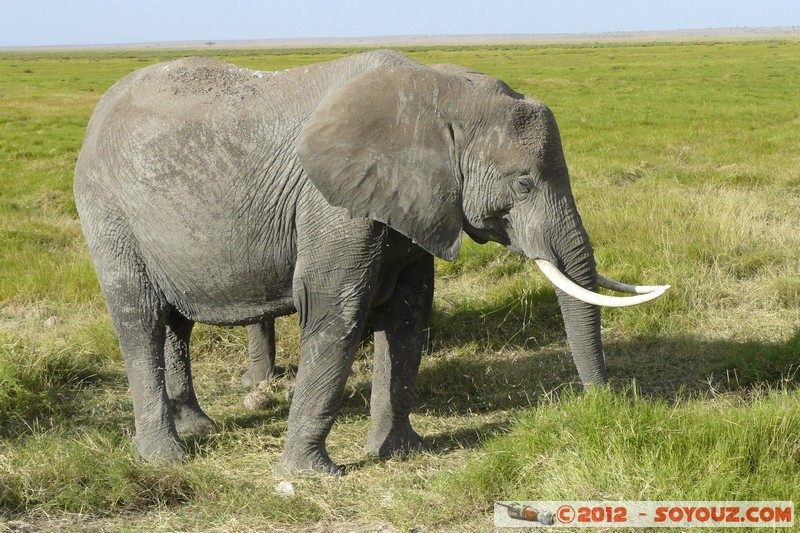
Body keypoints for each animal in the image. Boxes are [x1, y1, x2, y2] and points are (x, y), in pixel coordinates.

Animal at [73, 51, 668, 474]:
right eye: (523, 184)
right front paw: (311, 475)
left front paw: (402, 453)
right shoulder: (332, 205)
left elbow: (408, 315)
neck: (439, 92)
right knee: (140, 319)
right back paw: (166, 457)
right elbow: (336, 311)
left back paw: (197, 428)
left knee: (175, 322)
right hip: (106, 211)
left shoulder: (415, 206)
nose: (605, 406)